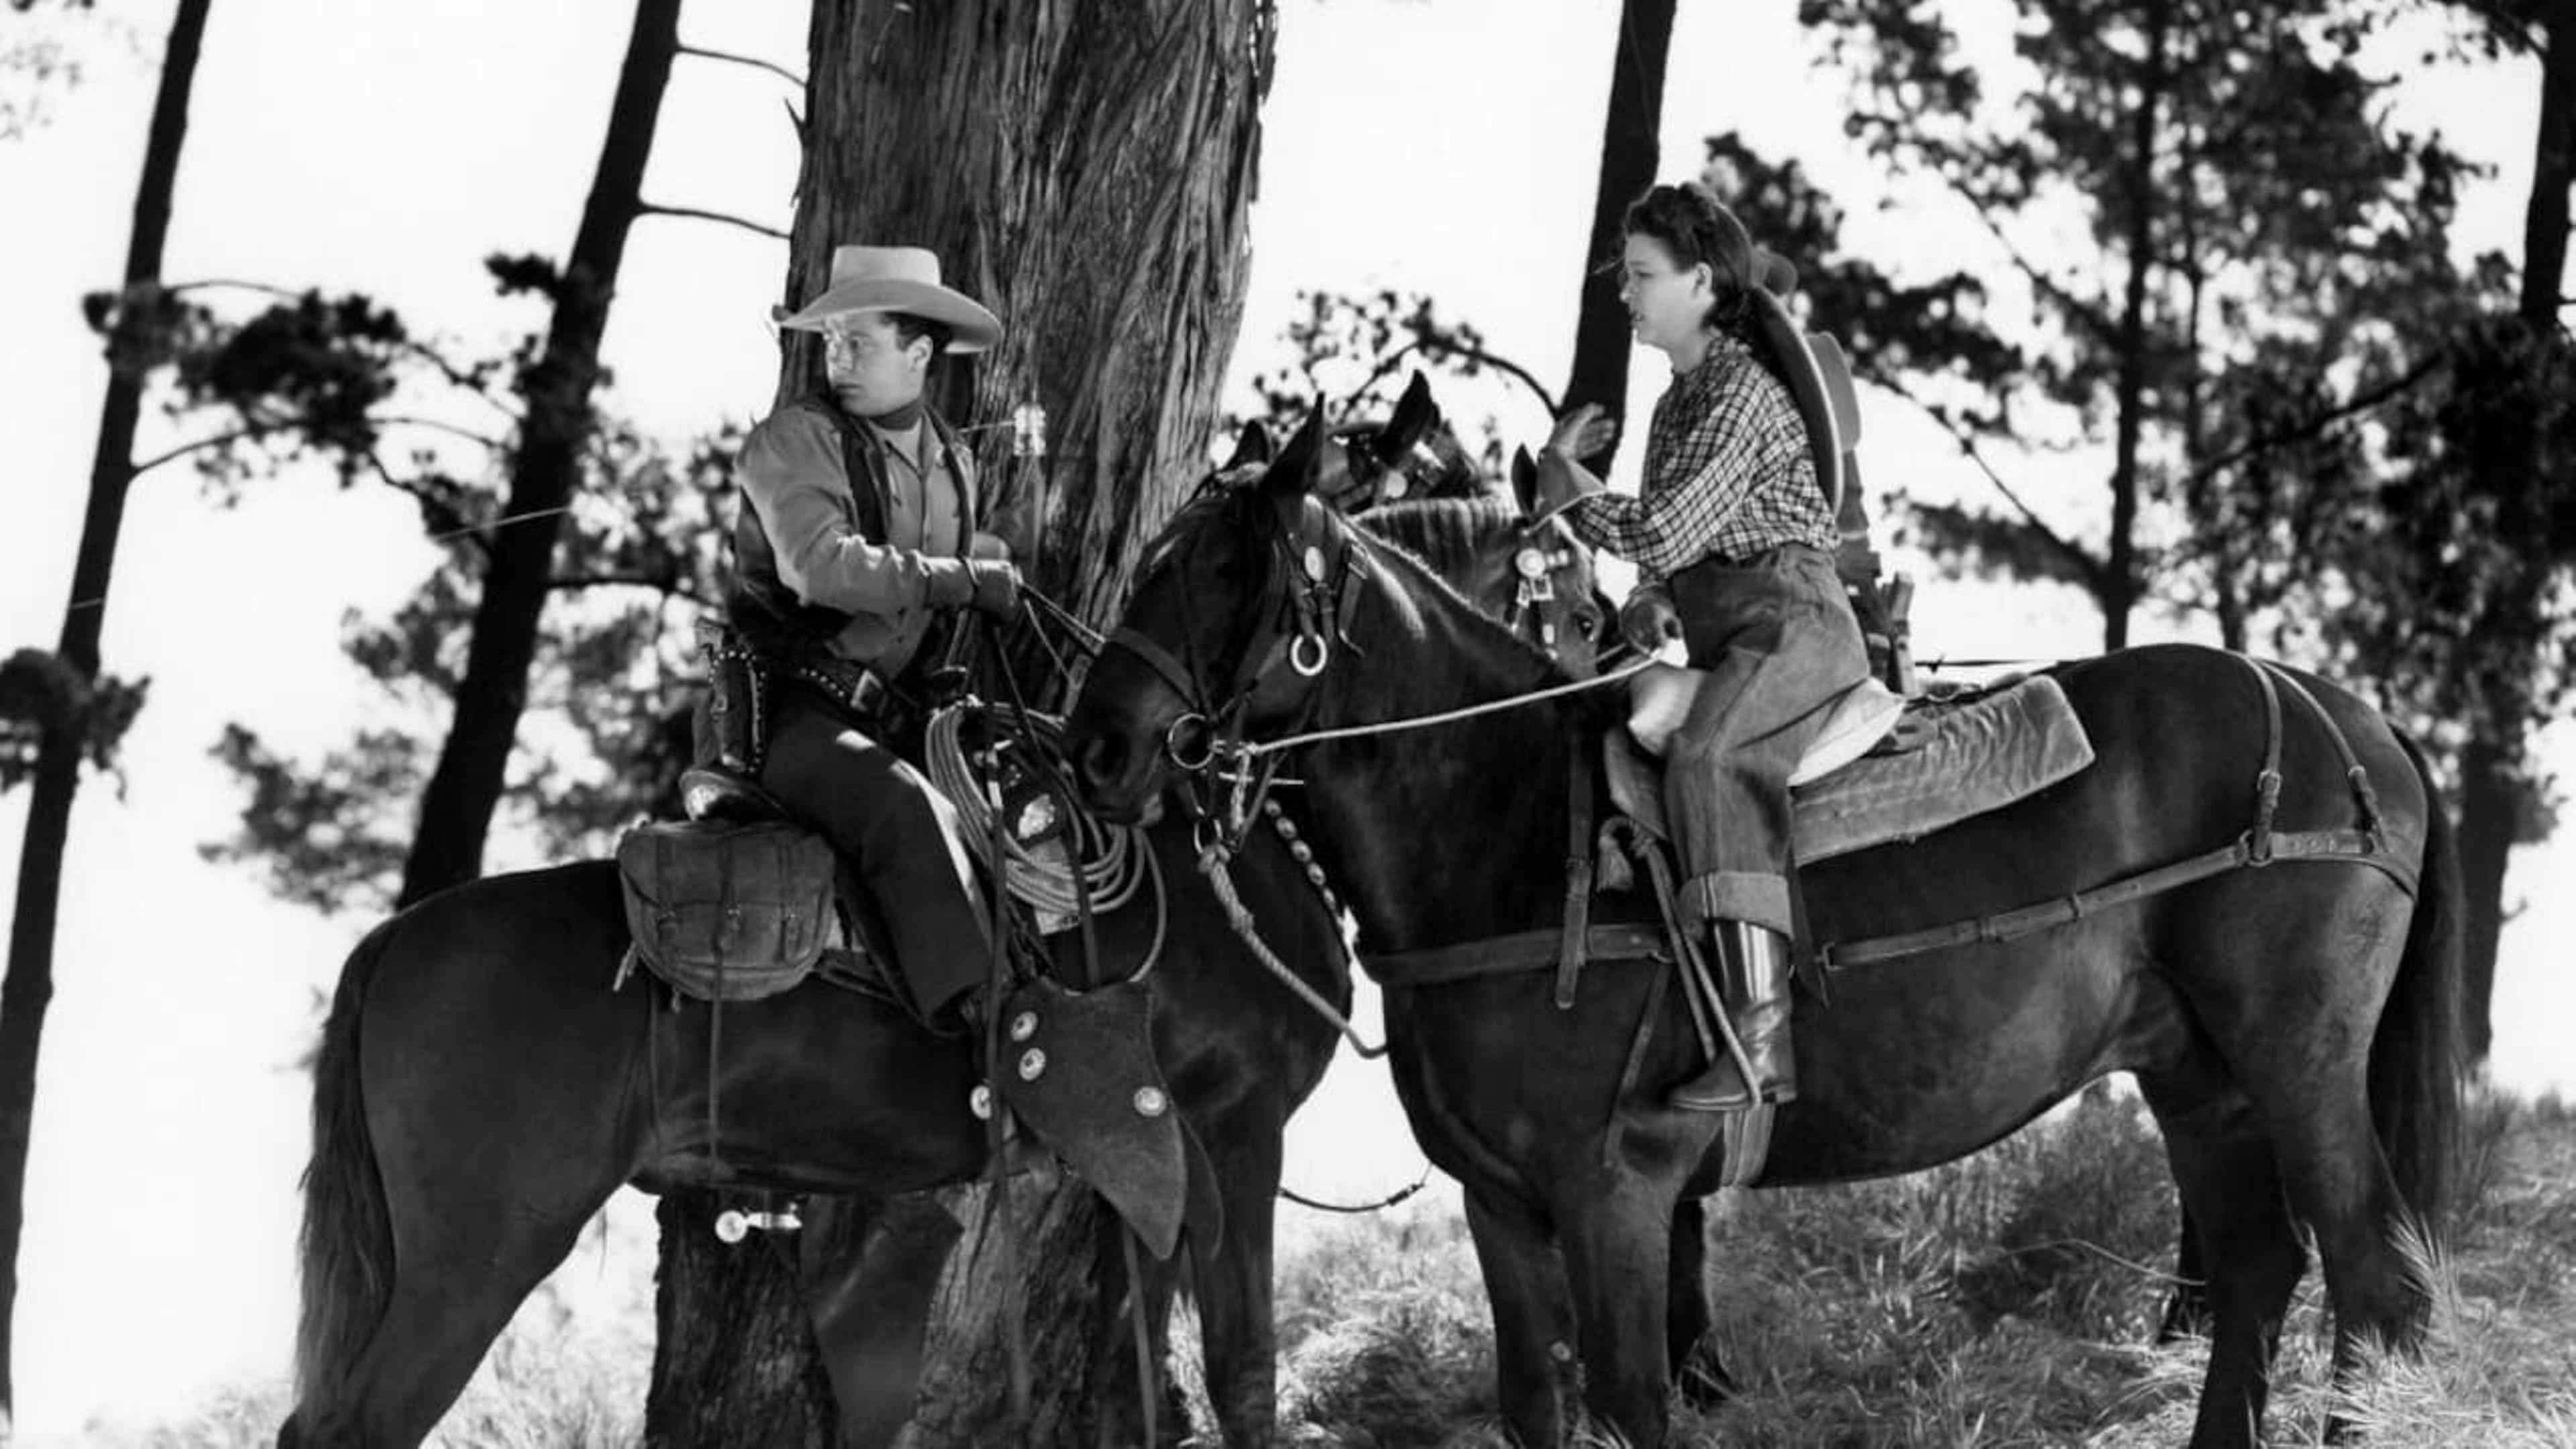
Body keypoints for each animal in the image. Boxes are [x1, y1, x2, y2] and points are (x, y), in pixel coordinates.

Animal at [1056, 423, 2463, 1433]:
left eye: (1227, 570)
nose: (1098, 746)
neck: (1515, 828)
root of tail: (2345, 713)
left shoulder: (1614, 1196)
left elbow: (1636, 1400)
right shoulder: (1501, 1206)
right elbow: (1535, 1402)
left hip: (2297, 1060)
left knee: (2373, 1282)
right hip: (2197, 1075)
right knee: (2262, 1271)